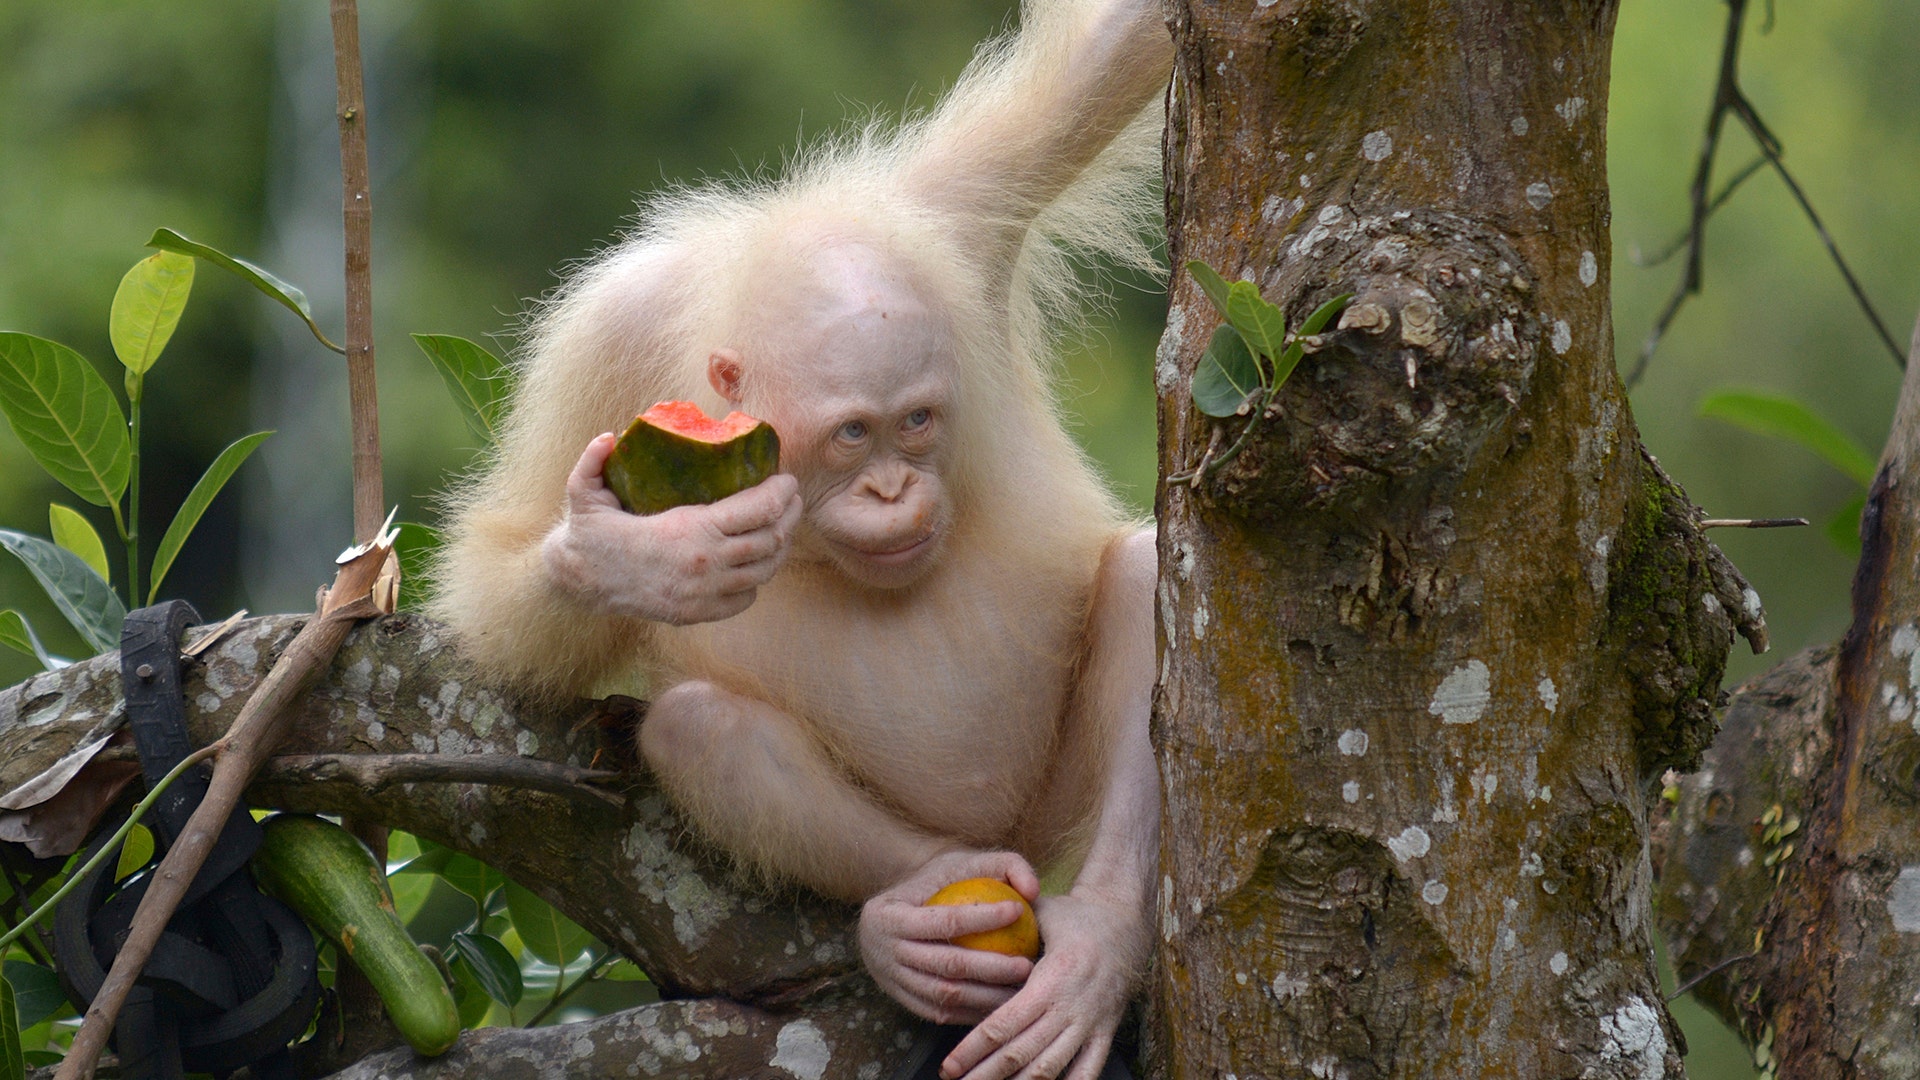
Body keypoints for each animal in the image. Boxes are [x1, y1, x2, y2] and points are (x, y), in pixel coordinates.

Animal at [430, 2, 1171, 1077]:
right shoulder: (602, 338)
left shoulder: (962, 210)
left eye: (917, 422)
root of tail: (1006, 843)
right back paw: (910, 909)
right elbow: (501, 578)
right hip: (962, 842)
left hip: (1046, 811)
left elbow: (1115, 56)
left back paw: (1097, 942)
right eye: (853, 433)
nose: (893, 487)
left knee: (1150, 572)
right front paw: (629, 561)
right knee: (700, 727)